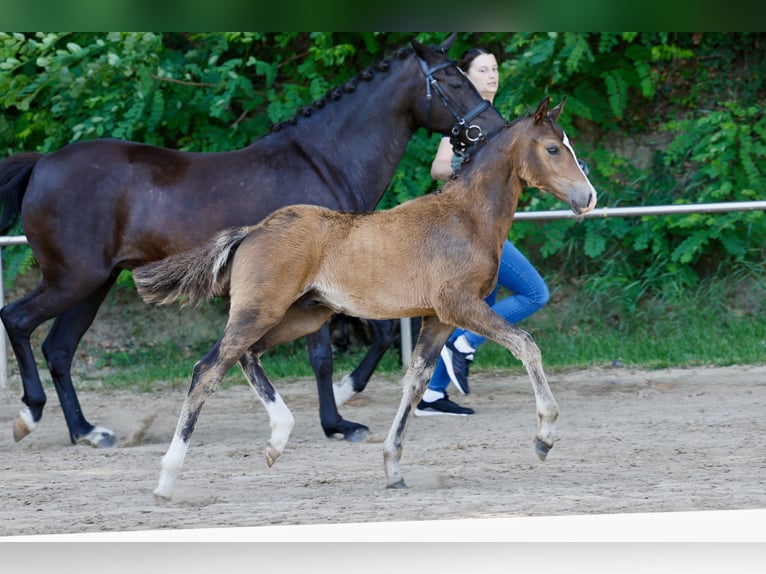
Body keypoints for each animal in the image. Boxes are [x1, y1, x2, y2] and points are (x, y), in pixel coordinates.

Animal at [0, 34, 506, 448]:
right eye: (453, 80)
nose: (494, 128)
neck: (328, 161)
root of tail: (43, 164)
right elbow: (322, 356)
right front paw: (338, 421)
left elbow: (376, 335)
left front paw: (344, 399)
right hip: (74, 280)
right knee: (19, 321)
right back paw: (30, 414)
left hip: (94, 284)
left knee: (59, 348)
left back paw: (86, 430)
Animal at [132, 96, 598, 501]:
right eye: (553, 148)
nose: (588, 197)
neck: (465, 217)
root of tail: (254, 230)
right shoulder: (460, 305)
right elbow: (526, 345)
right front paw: (544, 436)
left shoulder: (439, 319)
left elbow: (415, 381)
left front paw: (392, 468)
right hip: (260, 311)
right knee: (208, 369)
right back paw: (167, 480)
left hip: (303, 316)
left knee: (247, 356)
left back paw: (277, 440)